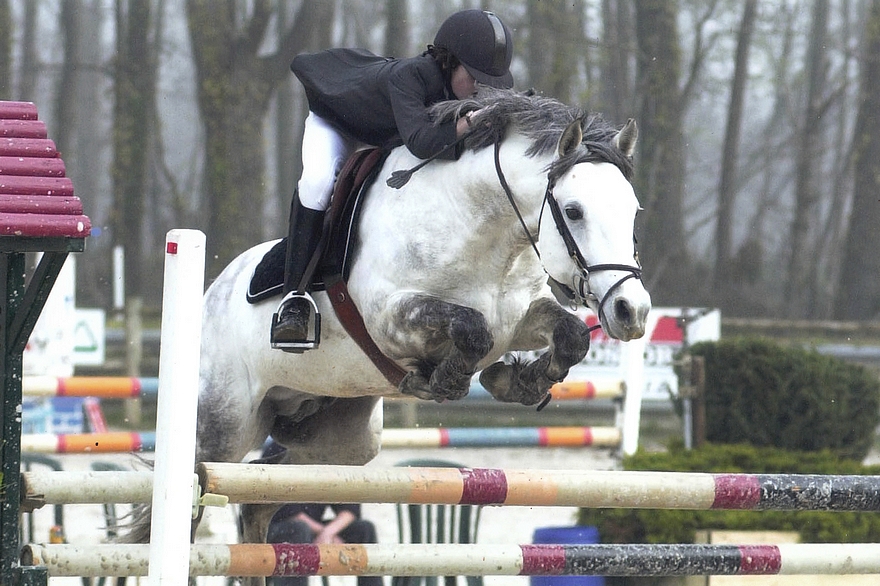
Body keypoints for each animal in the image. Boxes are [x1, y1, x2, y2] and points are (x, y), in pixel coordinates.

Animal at [124, 90, 648, 564]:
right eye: (574, 211)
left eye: (634, 212)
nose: (633, 312)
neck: (481, 231)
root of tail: (212, 294)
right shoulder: (391, 318)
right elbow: (470, 327)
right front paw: (444, 381)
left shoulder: (519, 318)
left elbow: (570, 336)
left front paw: (516, 380)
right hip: (223, 428)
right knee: (195, 492)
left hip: (342, 442)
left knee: (263, 497)